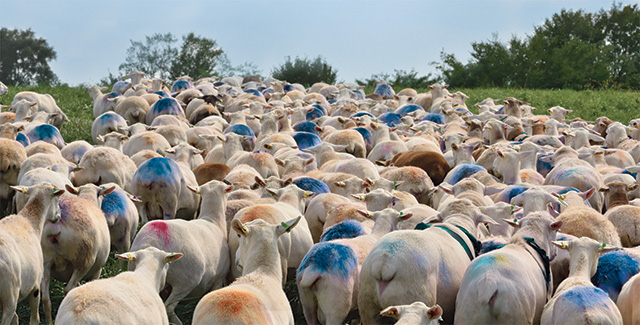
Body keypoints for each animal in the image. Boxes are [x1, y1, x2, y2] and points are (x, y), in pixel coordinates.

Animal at [0, 182, 64, 324]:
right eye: (57, 199)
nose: (59, 216)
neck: (30, 220)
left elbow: (16, 318)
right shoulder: (35, 287)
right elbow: (35, 319)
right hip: (10, 295)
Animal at [40, 182, 112, 322]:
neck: (88, 198)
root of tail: (56, 223)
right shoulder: (98, 269)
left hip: (45, 262)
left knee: (45, 298)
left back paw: (49, 321)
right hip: (84, 259)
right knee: (68, 289)